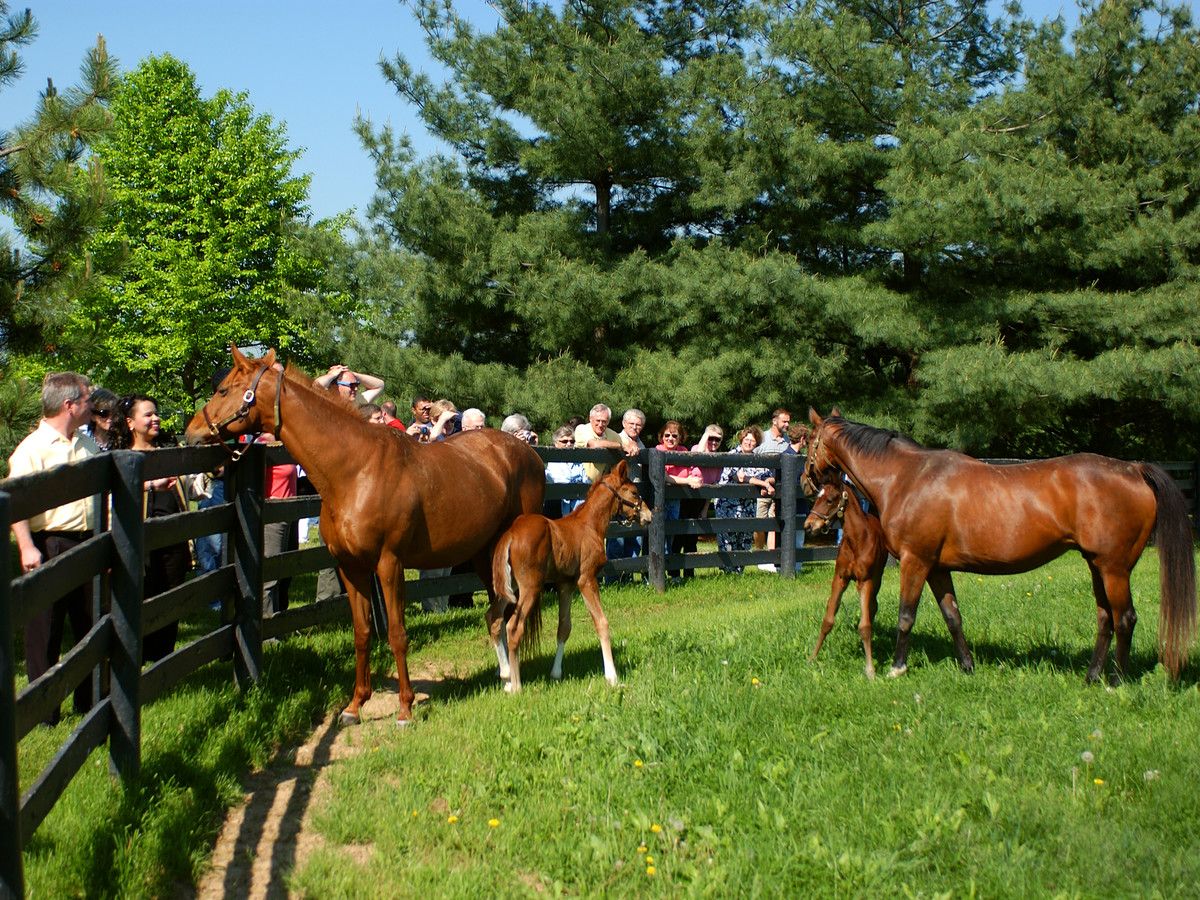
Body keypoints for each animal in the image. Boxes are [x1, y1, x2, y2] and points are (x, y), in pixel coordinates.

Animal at [186, 348, 544, 724]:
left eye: (223, 390)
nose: (190, 432)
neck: (356, 470)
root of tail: (528, 453)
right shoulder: (351, 567)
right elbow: (362, 633)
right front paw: (355, 705)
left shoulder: (389, 565)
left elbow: (397, 634)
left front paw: (405, 708)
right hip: (484, 554)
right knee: (498, 611)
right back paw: (506, 677)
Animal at [487, 460, 652, 696]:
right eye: (635, 492)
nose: (649, 515)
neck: (589, 524)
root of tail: (511, 533)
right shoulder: (586, 579)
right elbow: (601, 622)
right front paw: (612, 676)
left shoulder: (565, 584)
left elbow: (564, 628)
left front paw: (556, 673)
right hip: (530, 587)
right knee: (513, 627)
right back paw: (517, 685)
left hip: (508, 587)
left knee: (493, 618)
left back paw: (506, 678)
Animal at [806, 475, 892, 681]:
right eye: (816, 498)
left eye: (830, 500)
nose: (808, 526)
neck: (857, 540)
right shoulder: (840, 578)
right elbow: (827, 620)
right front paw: (812, 658)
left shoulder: (865, 581)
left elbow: (865, 625)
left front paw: (870, 670)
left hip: (877, 578)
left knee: (873, 607)